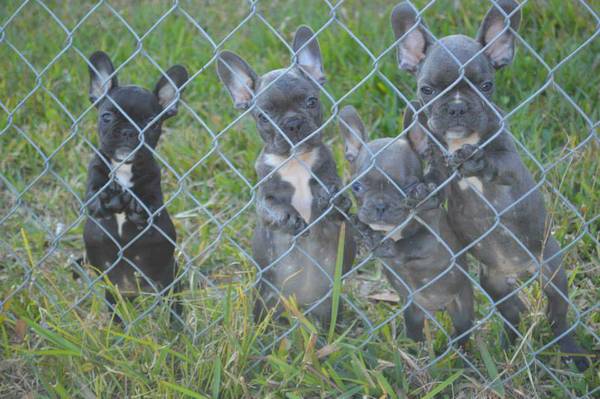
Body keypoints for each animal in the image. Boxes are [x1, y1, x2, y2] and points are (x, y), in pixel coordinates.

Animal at [83, 50, 188, 324]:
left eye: (152, 123)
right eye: (107, 116)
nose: (130, 131)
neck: (123, 167)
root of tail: (132, 290)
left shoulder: (152, 179)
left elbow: (151, 199)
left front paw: (137, 205)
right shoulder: (95, 167)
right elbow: (94, 188)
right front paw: (103, 198)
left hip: (170, 280)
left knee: (173, 303)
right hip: (112, 290)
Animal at [217, 26, 354, 330]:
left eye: (311, 101)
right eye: (263, 117)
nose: (292, 123)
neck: (295, 161)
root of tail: (300, 305)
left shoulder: (329, 172)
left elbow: (336, 191)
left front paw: (333, 197)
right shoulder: (263, 195)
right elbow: (270, 206)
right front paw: (289, 217)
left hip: (328, 304)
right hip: (265, 299)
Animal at [390, 0, 592, 370]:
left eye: (486, 86)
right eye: (426, 90)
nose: (457, 107)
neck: (461, 142)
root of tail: (519, 270)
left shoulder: (509, 162)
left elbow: (497, 165)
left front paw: (478, 161)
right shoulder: (440, 170)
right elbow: (433, 182)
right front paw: (418, 192)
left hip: (552, 269)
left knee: (557, 315)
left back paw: (573, 354)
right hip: (493, 281)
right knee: (514, 310)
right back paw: (506, 346)